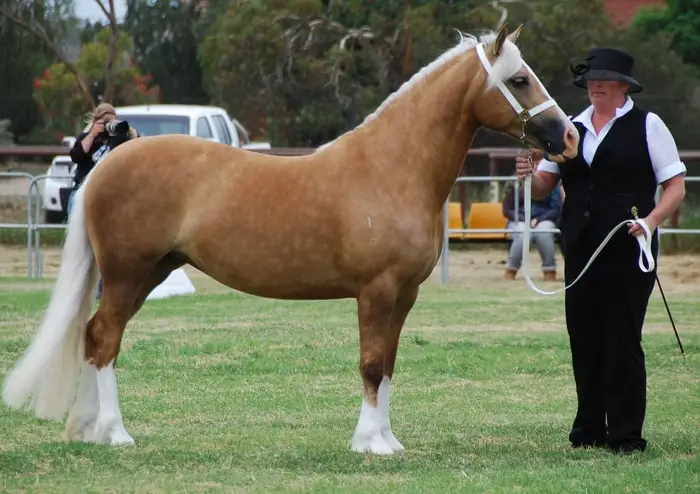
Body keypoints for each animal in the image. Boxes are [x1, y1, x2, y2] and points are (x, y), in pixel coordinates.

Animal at [1, 24, 580, 456]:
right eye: (520, 79)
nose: (569, 136)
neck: (390, 168)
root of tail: (106, 164)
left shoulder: (404, 295)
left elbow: (389, 364)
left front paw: (387, 440)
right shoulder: (376, 291)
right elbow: (371, 363)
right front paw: (369, 444)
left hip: (151, 272)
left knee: (97, 336)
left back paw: (91, 430)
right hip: (128, 272)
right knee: (104, 339)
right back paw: (115, 433)